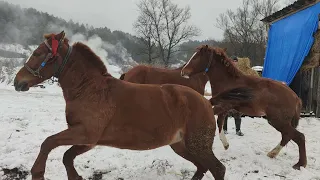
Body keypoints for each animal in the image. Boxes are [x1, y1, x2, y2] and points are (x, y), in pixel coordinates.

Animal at [11, 31, 252, 180]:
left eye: (38, 54)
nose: (17, 81)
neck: (90, 90)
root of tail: (206, 102)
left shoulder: (85, 134)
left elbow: (49, 143)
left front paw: (37, 172)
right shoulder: (87, 140)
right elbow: (66, 157)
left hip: (197, 145)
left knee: (217, 169)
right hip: (181, 145)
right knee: (203, 167)